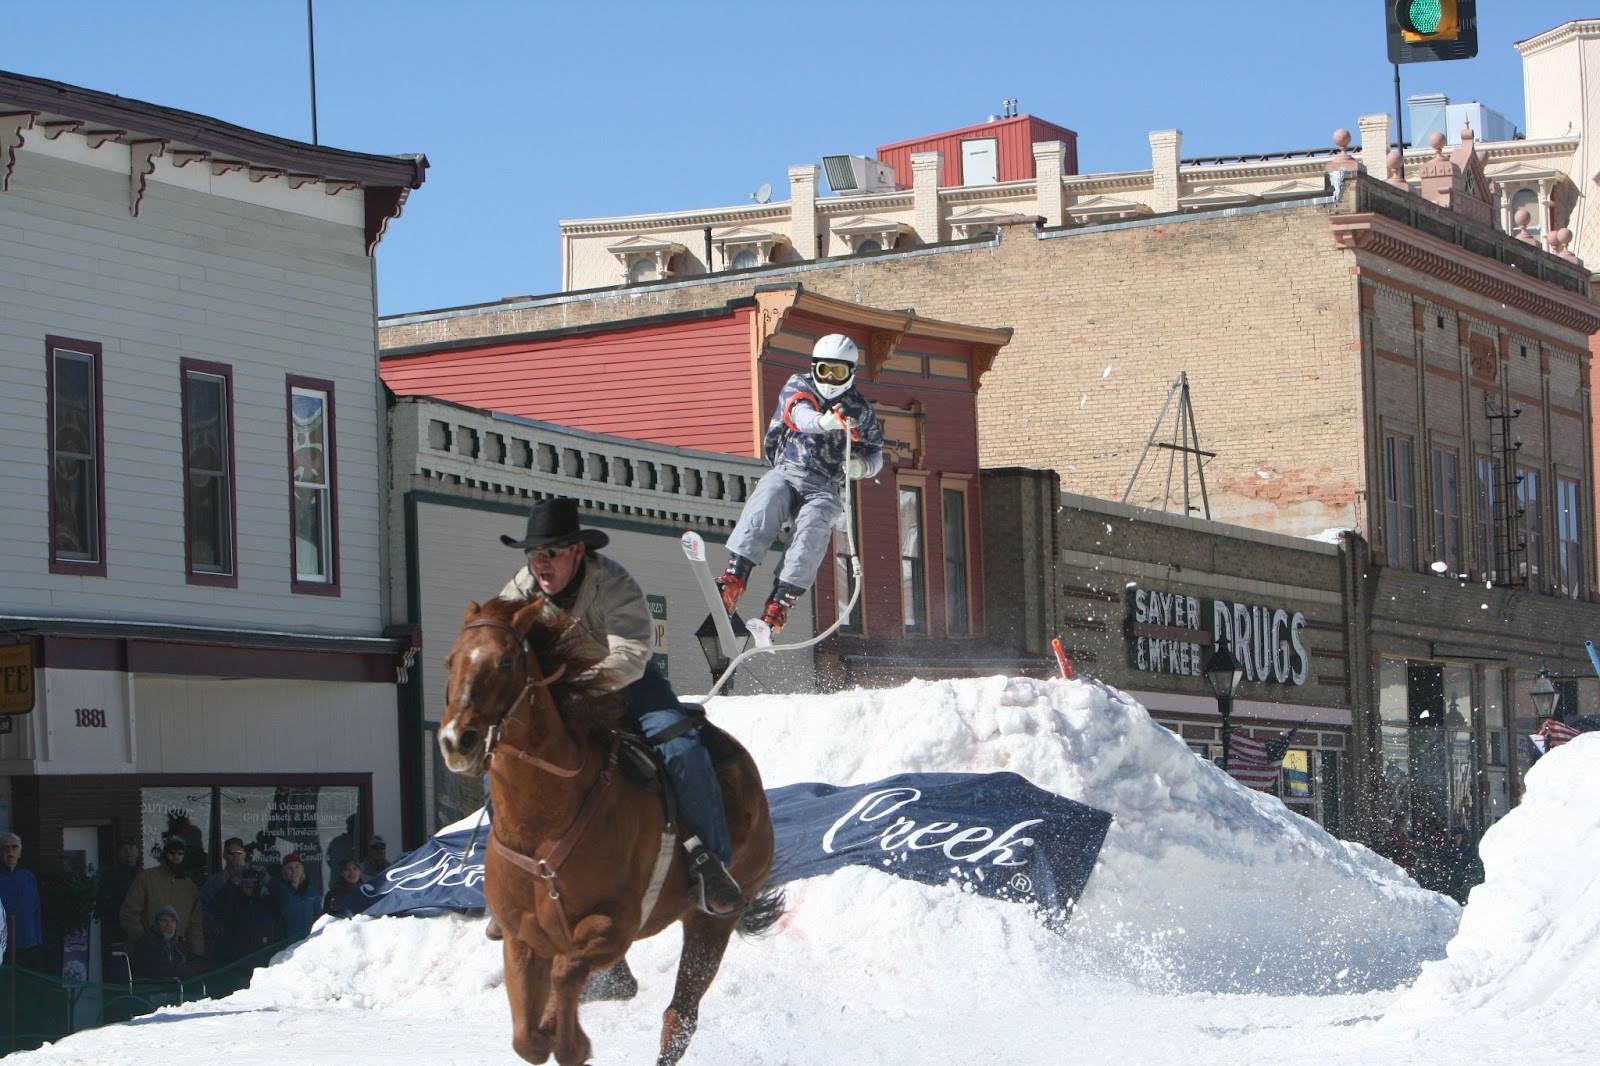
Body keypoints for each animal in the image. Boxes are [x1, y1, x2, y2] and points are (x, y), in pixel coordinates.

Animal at [438, 592, 774, 1056]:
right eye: (451, 661)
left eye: (506, 661)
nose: (457, 740)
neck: (543, 825)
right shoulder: (521, 939)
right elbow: (528, 1039)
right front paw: (549, 1028)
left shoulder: (614, 925)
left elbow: (566, 980)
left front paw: (571, 1041)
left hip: (711, 921)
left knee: (679, 1017)